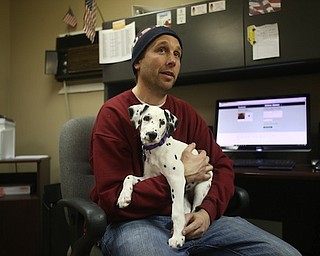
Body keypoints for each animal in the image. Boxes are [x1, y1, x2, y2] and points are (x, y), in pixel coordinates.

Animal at [117, 103, 212, 248]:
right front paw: (124, 197)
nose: (152, 134)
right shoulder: (148, 178)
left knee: (193, 209)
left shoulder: (177, 180)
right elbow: (128, 177)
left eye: (162, 122)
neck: (157, 150)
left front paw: (178, 237)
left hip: (200, 190)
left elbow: (176, 212)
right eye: (146, 118)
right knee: (187, 208)